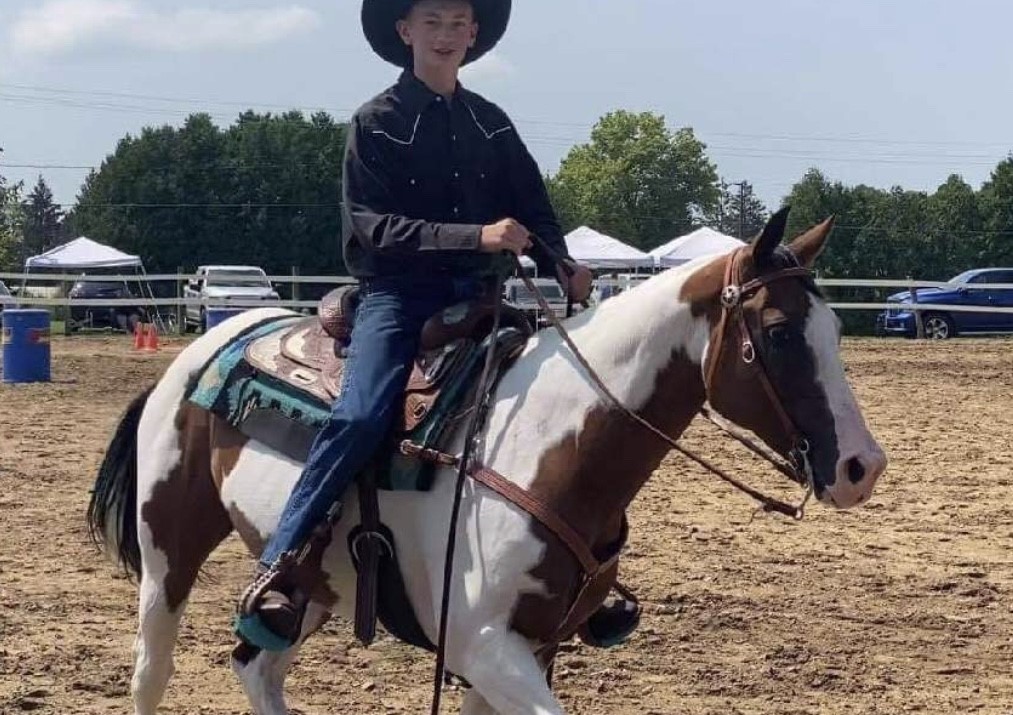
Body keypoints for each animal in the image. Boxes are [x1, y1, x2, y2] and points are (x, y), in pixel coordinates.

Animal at [87, 209, 887, 715]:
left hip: (314, 587)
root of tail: (201, 351)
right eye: (777, 332)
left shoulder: (527, 647)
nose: (861, 465)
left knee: (256, 667)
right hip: (168, 553)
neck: (550, 445)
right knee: (150, 673)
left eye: (833, 327)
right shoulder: (485, 647)